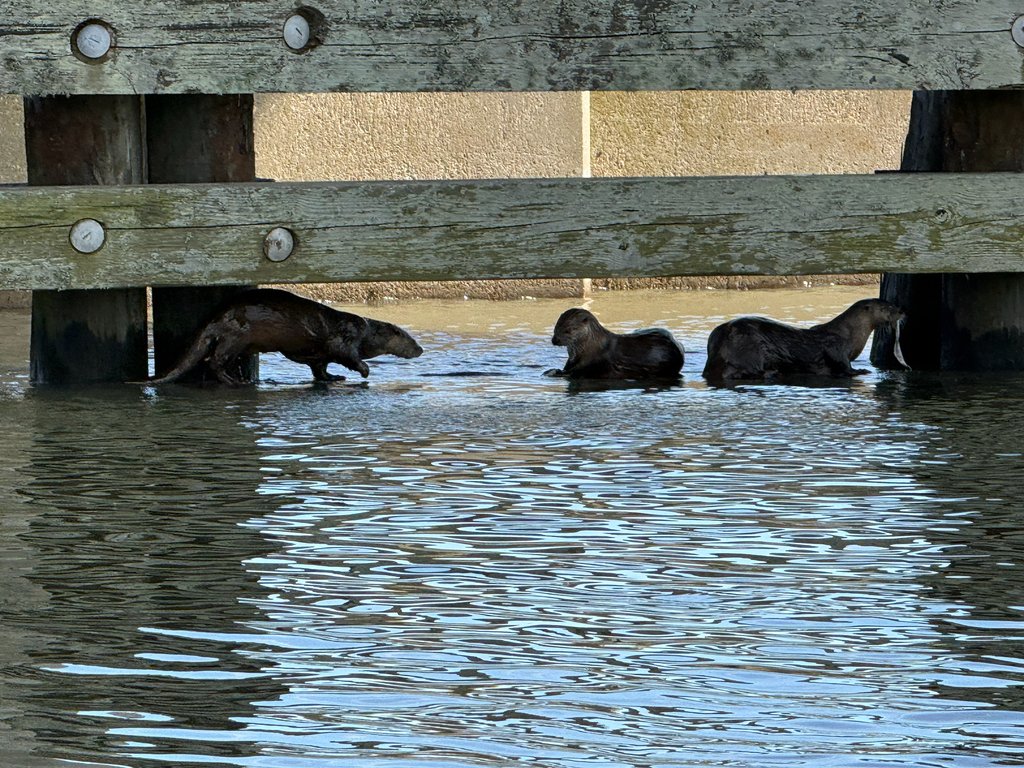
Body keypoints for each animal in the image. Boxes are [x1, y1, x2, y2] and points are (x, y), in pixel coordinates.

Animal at [141, 288, 423, 385]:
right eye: (410, 339)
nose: (420, 350)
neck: (365, 333)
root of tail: (217, 317)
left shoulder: (317, 355)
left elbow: (320, 367)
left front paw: (333, 377)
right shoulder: (345, 338)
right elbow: (348, 356)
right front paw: (364, 371)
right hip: (236, 336)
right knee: (215, 361)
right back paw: (237, 382)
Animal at [545, 307, 685, 381]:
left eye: (568, 330)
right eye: (556, 327)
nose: (554, 340)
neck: (592, 346)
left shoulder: (592, 361)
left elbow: (578, 371)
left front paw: (555, 372)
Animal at [702, 298, 907, 382]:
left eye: (893, 303)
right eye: (888, 307)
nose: (902, 310)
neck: (849, 335)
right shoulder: (836, 349)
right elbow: (844, 367)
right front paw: (860, 371)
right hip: (749, 350)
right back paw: (771, 372)